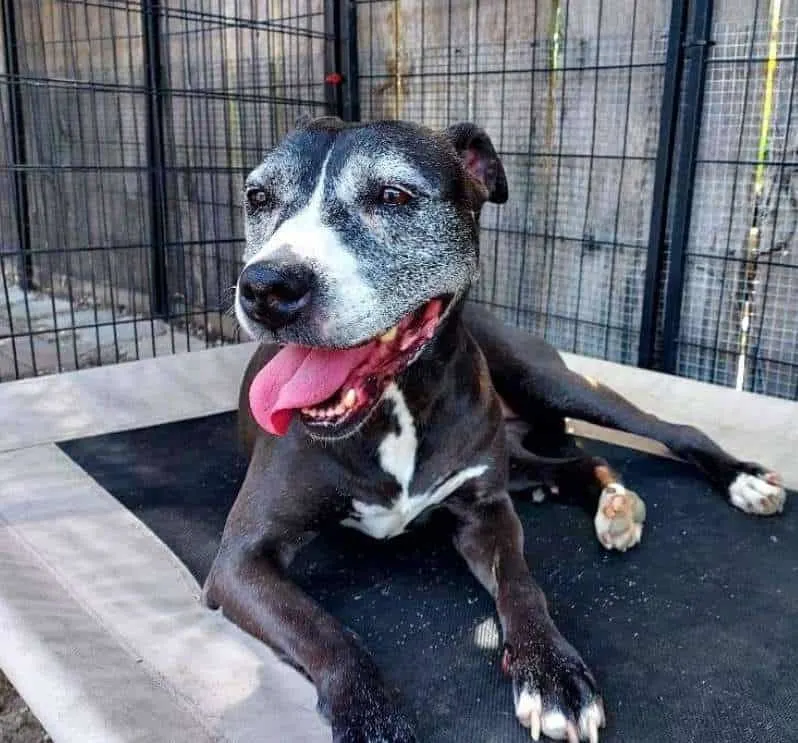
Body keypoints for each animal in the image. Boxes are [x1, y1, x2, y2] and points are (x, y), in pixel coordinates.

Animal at [203, 116, 792, 743]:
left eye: (393, 196)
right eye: (258, 197)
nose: (266, 287)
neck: (398, 405)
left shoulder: (486, 513)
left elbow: (521, 584)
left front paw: (551, 670)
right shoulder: (241, 559)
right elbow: (325, 631)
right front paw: (370, 716)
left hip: (552, 381)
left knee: (671, 429)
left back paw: (742, 480)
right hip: (516, 448)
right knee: (578, 460)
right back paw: (610, 502)